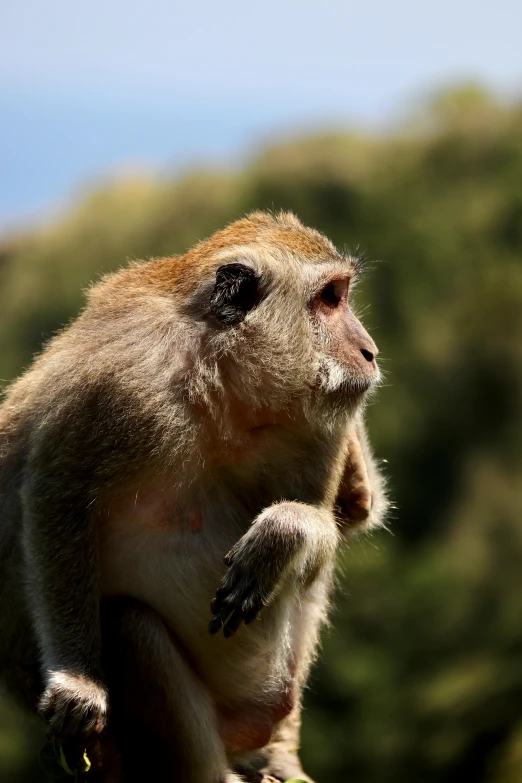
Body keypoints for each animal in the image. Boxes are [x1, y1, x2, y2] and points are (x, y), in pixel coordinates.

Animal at [0, 210, 386, 783]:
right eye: (329, 298)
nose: (370, 353)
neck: (218, 380)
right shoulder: (118, 386)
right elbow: (56, 493)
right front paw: (78, 683)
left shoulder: (323, 423)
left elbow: (331, 525)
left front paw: (283, 533)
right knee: (129, 628)